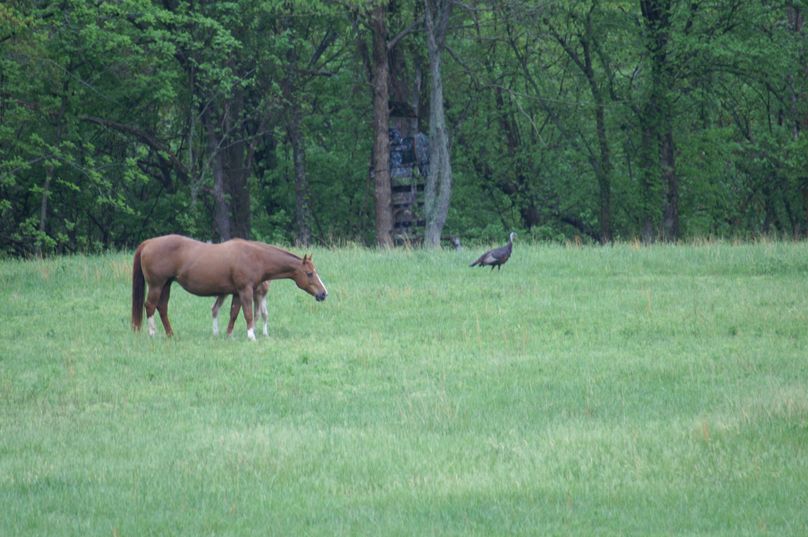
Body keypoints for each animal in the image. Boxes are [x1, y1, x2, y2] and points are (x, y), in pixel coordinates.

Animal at [132, 234, 327, 340]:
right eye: (310, 273)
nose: (324, 293)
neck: (254, 256)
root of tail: (148, 243)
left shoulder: (236, 293)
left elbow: (234, 313)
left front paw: (229, 335)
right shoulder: (245, 290)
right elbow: (248, 313)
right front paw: (251, 336)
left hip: (166, 285)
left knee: (162, 308)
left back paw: (170, 334)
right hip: (156, 285)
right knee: (150, 306)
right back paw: (152, 333)